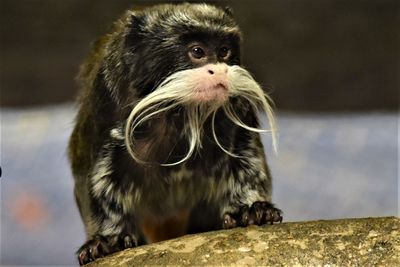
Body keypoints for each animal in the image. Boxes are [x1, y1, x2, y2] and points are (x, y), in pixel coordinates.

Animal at [69, 2, 282, 266]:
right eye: (197, 51)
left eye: (223, 51)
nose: (221, 71)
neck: (178, 115)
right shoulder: (104, 111)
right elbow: (96, 183)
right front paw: (107, 239)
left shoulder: (239, 109)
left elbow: (248, 160)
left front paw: (252, 209)